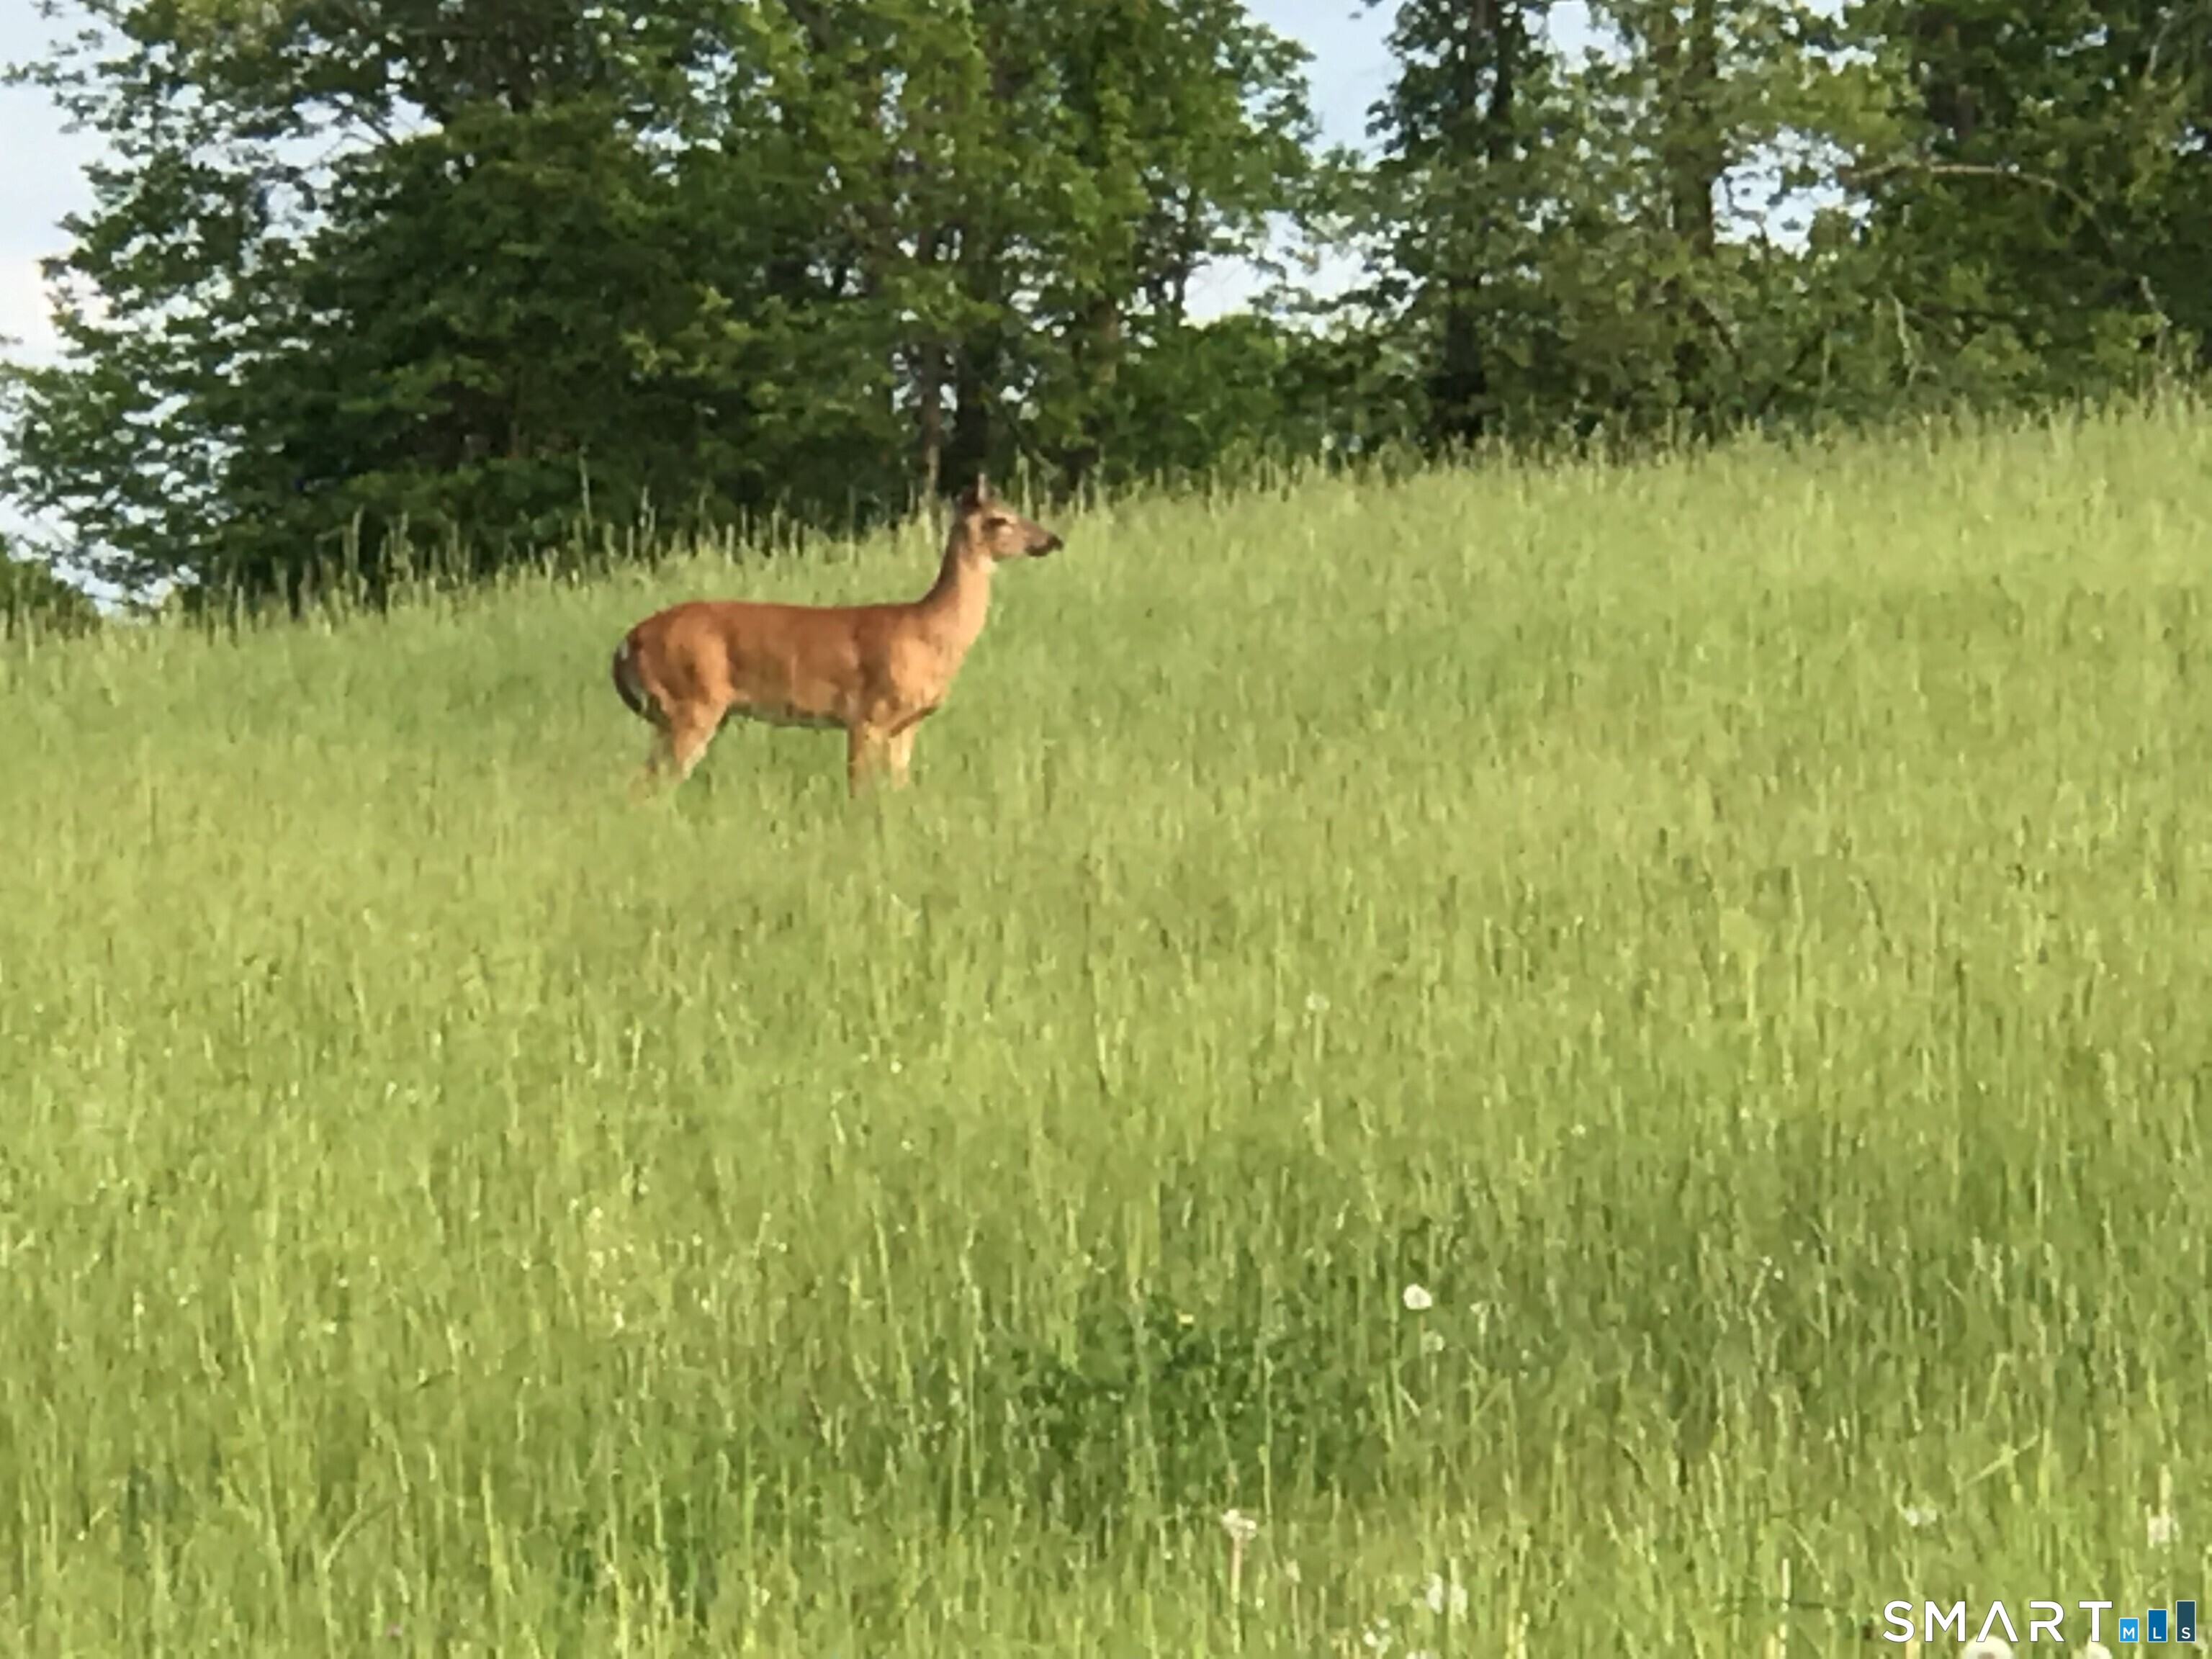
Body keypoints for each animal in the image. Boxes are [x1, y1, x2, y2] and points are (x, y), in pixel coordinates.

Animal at [609, 475, 1065, 799]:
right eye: (999, 519)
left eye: (1017, 508)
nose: (1052, 540)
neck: (927, 632)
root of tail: (627, 642)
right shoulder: (866, 715)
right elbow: (858, 795)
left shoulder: (906, 725)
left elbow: (900, 790)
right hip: (689, 704)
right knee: (644, 786)